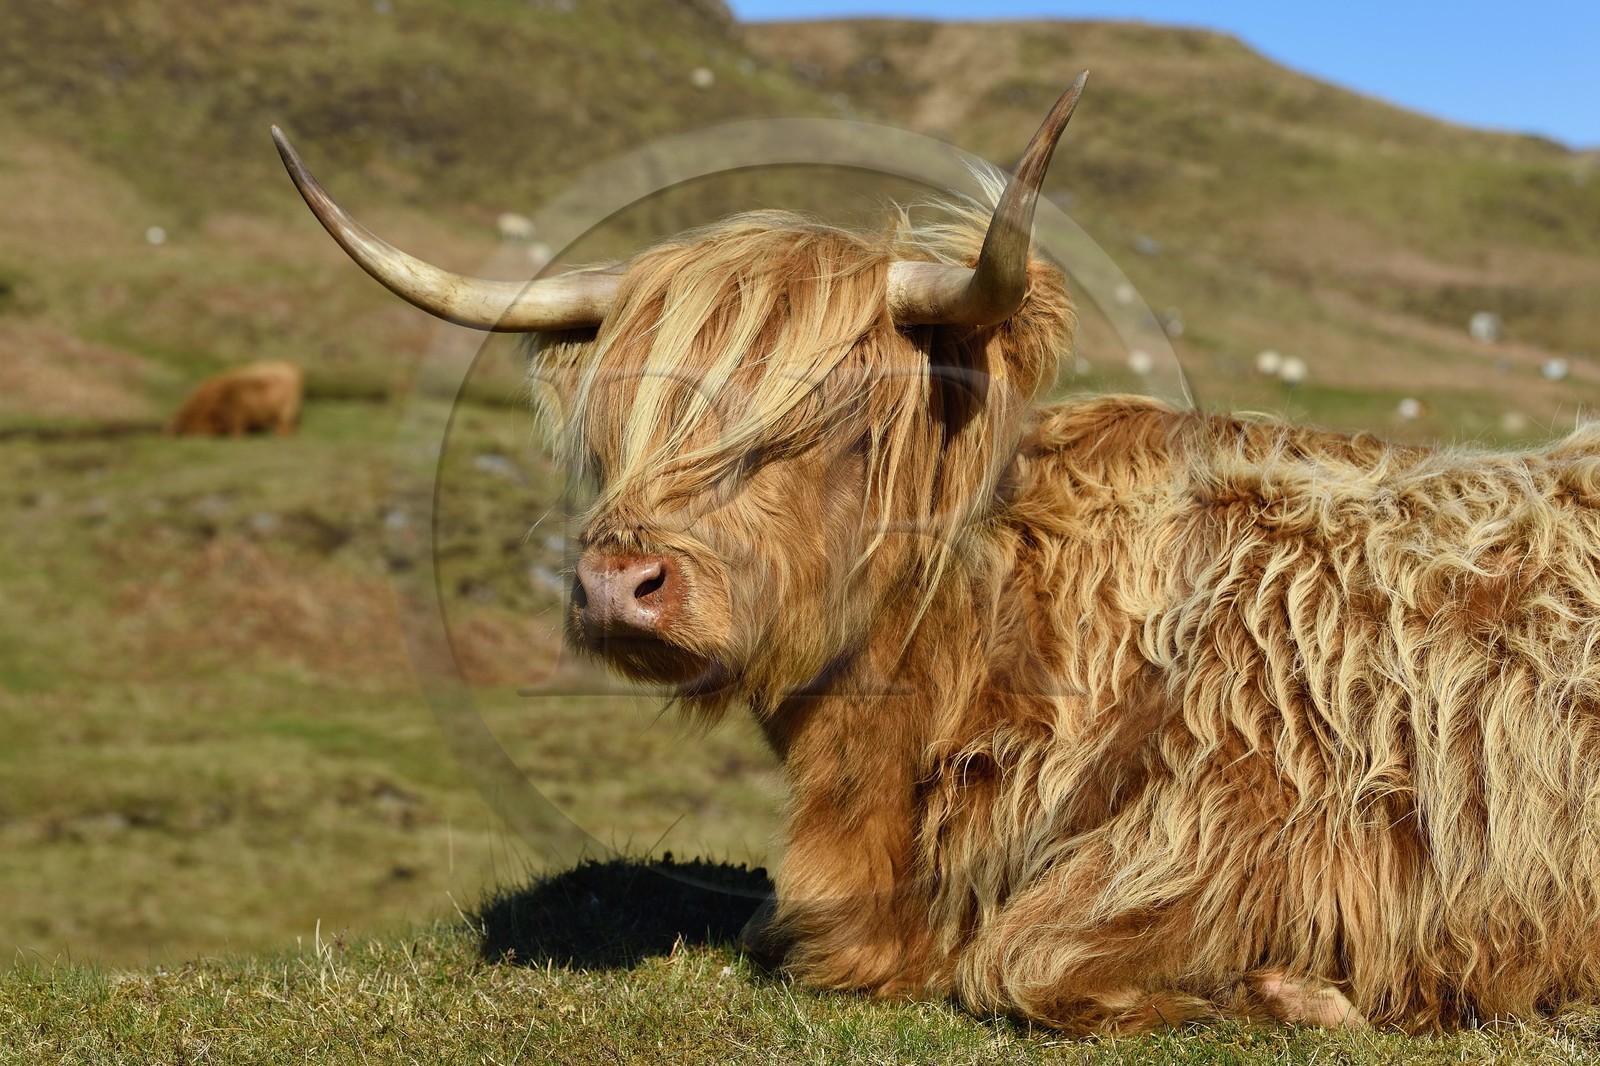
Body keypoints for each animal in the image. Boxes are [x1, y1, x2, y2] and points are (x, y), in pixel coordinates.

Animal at [272, 75, 1600, 1033]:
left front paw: (1299, 991)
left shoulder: (1254, 815)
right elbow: (778, 930)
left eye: (839, 418)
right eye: (622, 422)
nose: (617, 584)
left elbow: (1021, 958)